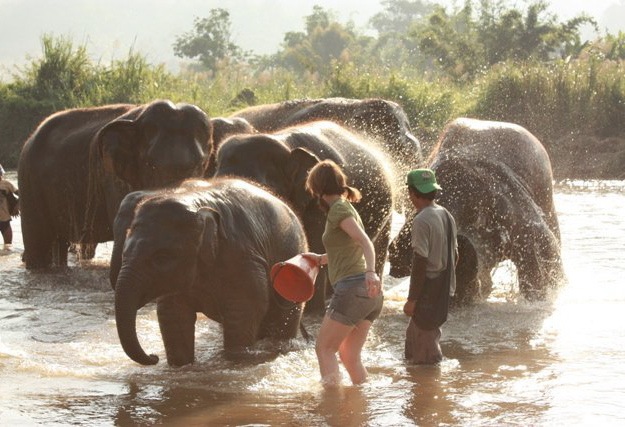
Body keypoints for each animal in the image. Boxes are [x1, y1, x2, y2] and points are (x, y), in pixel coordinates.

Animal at [111, 177, 308, 368]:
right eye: (124, 253)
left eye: (161, 257)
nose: (154, 357)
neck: (194, 200)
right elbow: (173, 314)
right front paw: (180, 367)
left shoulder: (242, 257)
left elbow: (243, 311)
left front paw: (236, 362)